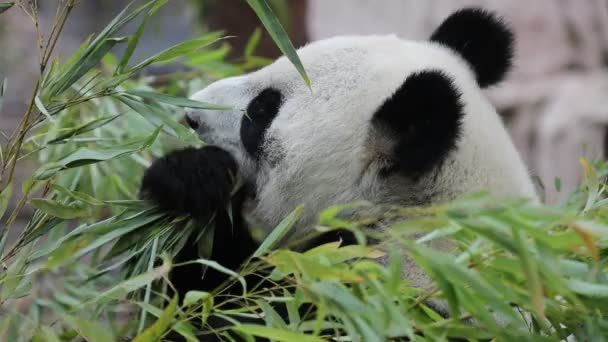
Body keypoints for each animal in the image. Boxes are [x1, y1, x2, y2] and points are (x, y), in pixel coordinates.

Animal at [141, 6, 536, 334]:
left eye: (264, 109)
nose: (191, 115)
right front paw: (192, 176)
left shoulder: (366, 299)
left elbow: (214, 316)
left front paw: (192, 179)